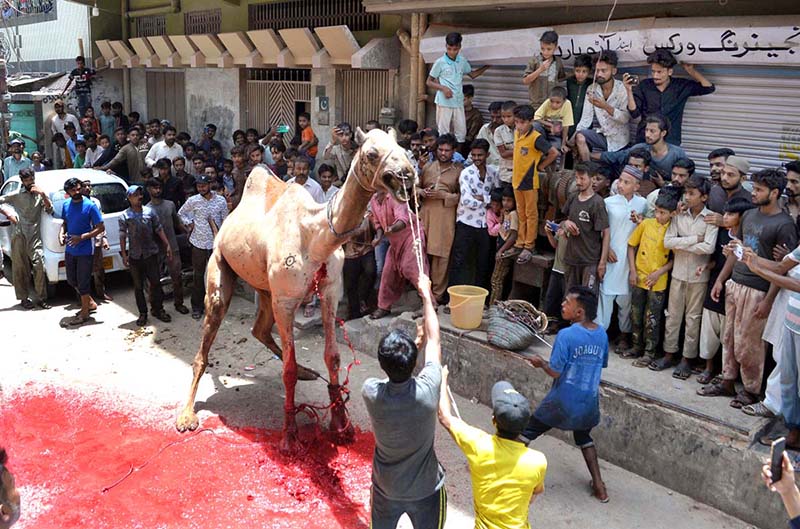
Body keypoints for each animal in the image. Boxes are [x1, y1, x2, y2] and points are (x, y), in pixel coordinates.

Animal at [177, 128, 416, 450]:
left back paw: (306, 371)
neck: (316, 235)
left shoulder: (329, 293)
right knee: (209, 336)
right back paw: (187, 415)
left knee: (259, 329)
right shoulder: (287, 300)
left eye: (401, 147)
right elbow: (287, 370)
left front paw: (341, 425)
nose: (406, 175)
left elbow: (333, 357)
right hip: (220, 266)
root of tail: (226, 221)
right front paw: (290, 436)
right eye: (371, 153)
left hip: (265, 287)